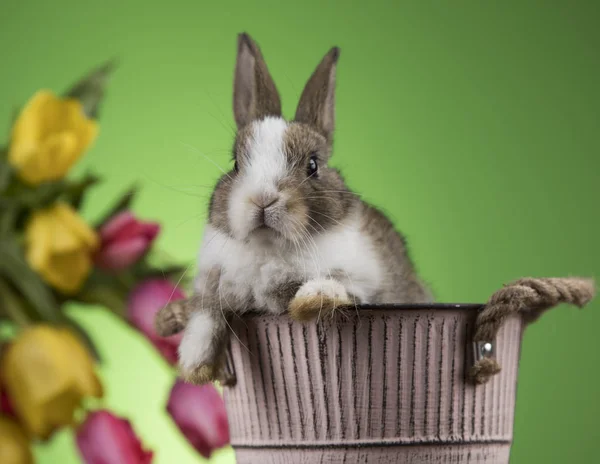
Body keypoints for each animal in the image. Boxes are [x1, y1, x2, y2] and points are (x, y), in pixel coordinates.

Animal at [155, 32, 432, 386]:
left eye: (313, 165)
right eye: (235, 164)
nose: (263, 199)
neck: (269, 248)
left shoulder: (364, 281)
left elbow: (339, 287)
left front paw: (309, 300)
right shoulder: (213, 284)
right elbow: (206, 315)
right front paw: (195, 365)